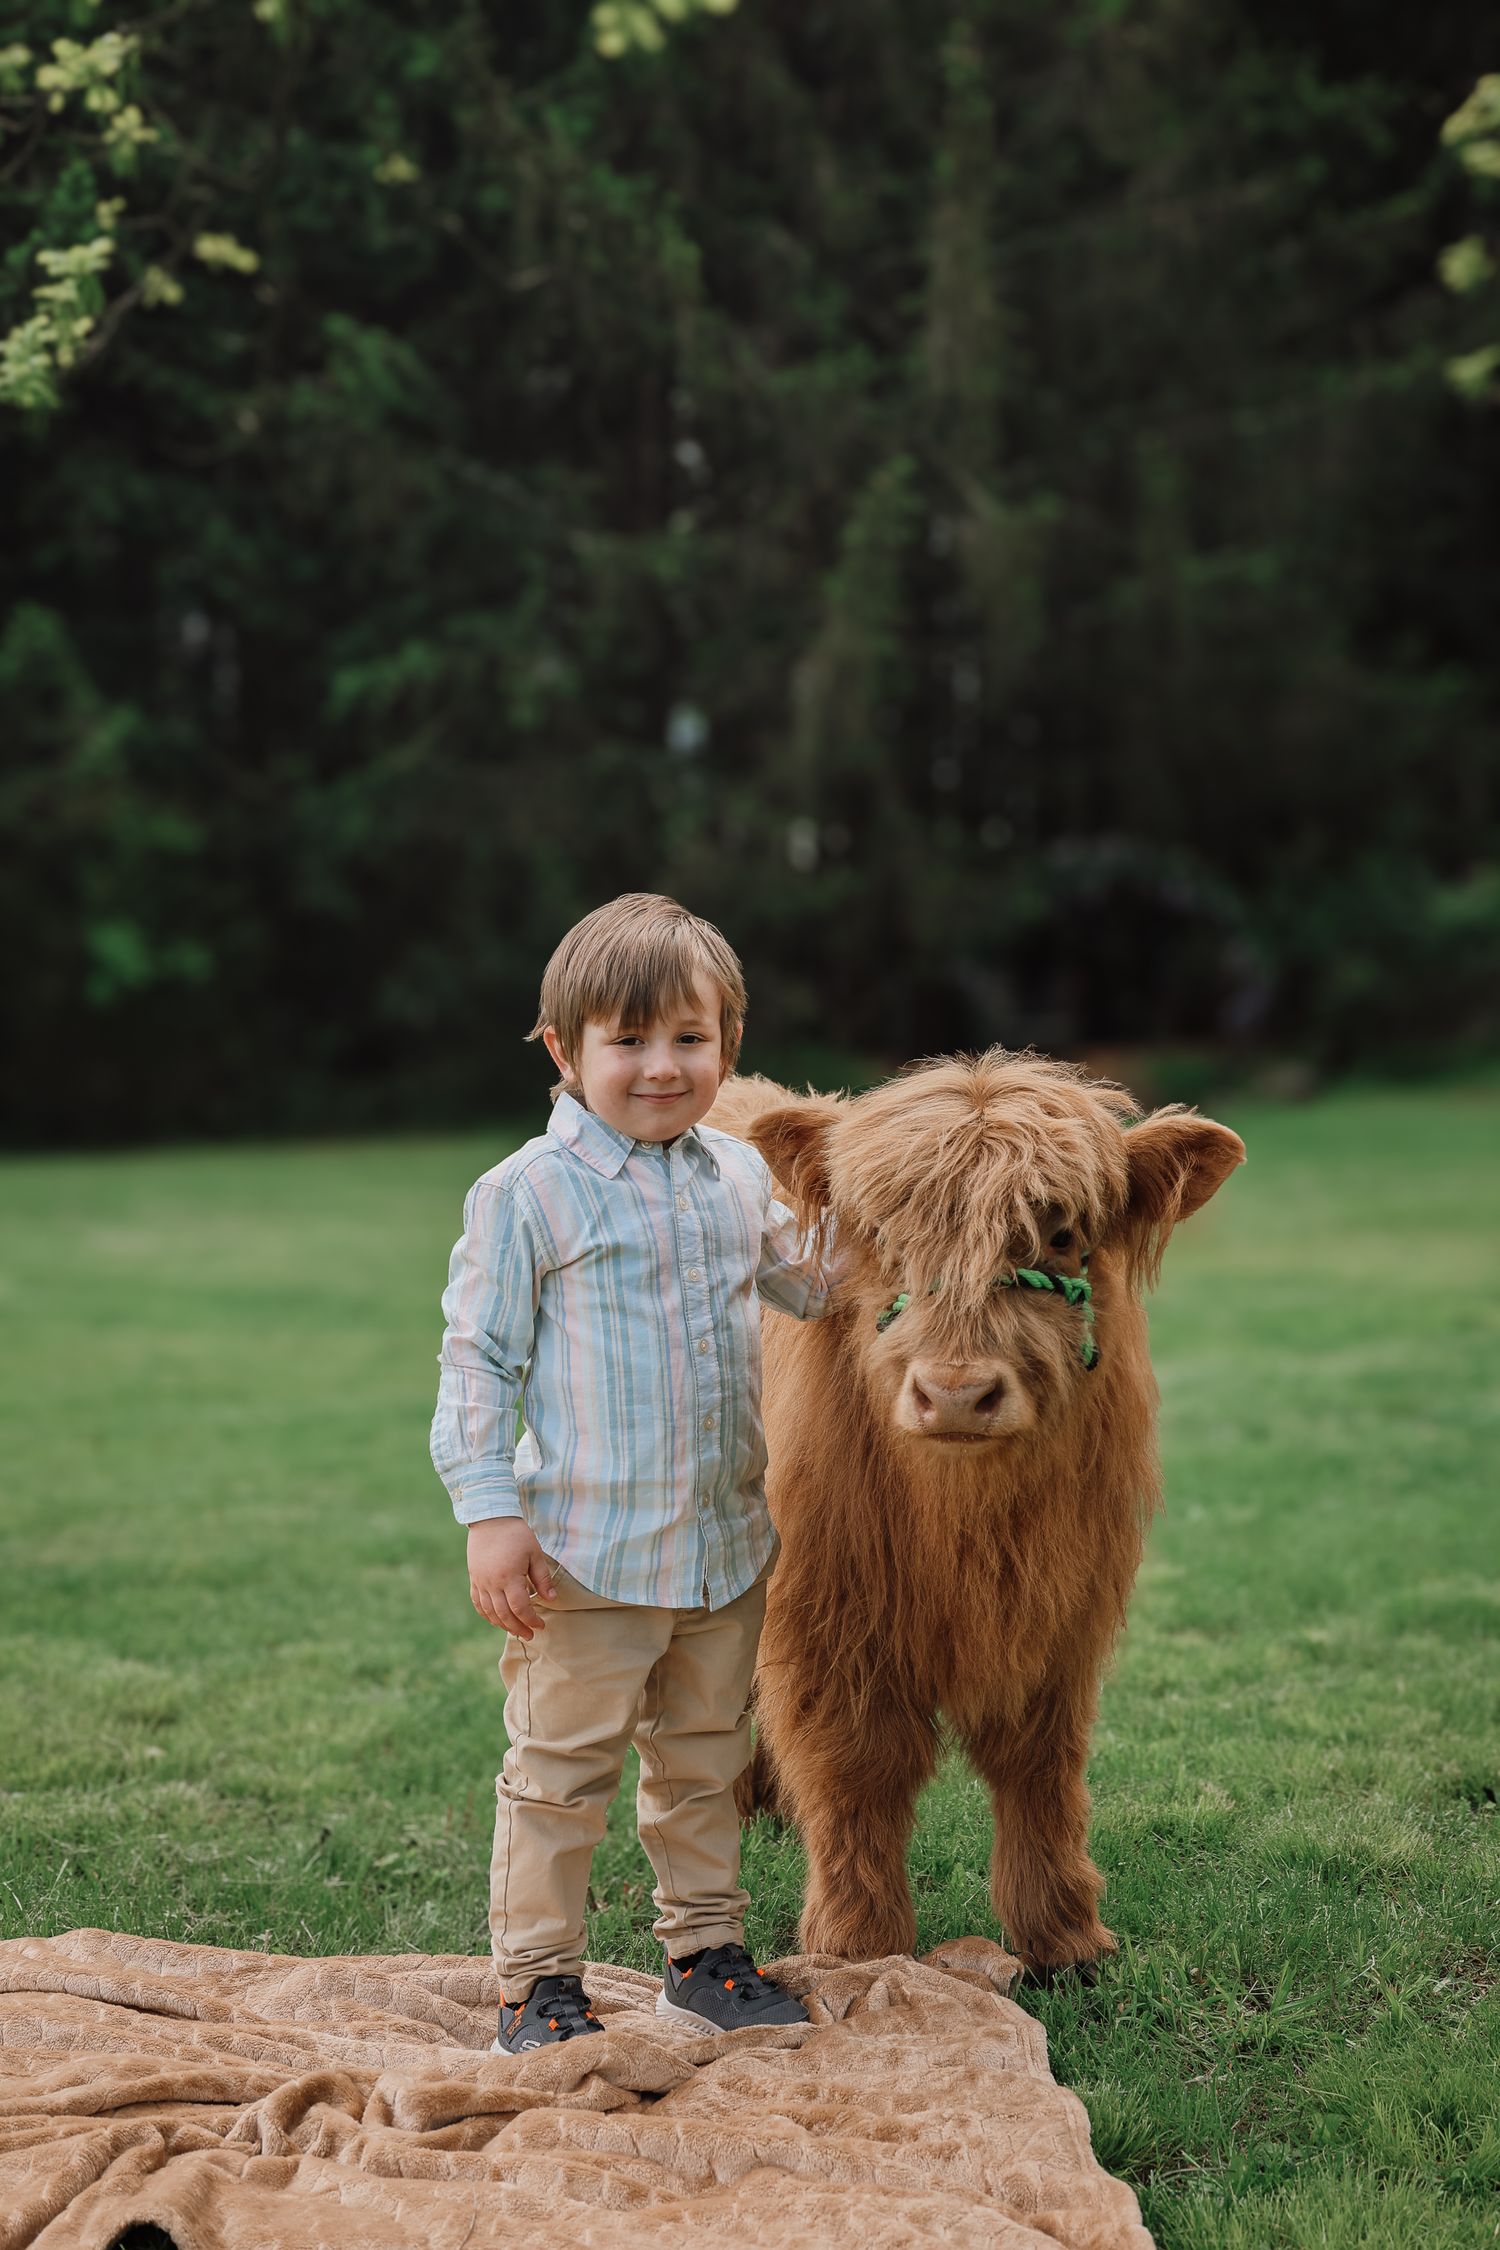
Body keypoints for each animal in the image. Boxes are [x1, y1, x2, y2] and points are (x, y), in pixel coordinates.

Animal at [707, 1049, 1244, 1978]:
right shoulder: (828, 1620)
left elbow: (1039, 1769)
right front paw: (858, 1947)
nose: (956, 1393)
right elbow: (858, 1770)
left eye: (1060, 1235)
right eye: (882, 1235)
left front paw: (1063, 1938)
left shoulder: (1059, 1617)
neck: (965, 1525)